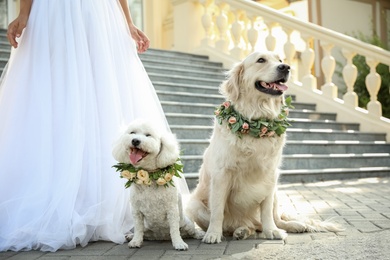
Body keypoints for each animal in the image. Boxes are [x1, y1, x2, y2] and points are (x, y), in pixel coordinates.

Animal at [112, 120, 204, 250]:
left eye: (148, 135)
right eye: (132, 133)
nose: (135, 141)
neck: (150, 176)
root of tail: (161, 236)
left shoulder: (172, 209)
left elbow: (174, 230)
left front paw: (178, 243)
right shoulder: (136, 211)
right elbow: (138, 229)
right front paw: (135, 241)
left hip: (187, 223)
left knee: (190, 232)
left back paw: (199, 234)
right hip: (147, 227)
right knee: (144, 232)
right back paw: (131, 236)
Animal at [186, 51, 342, 244]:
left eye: (280, 60)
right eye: (261, 60)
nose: (286, 67)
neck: (256, 121)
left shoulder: (270, 175)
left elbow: (267, 211)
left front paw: (272, 231)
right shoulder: (222, 174)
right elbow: (217, 210)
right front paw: (213, 234)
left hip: (276, 193)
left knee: (273, 219)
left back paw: (293, 225)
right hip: (194, 205)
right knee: (240, 226)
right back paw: (241, 230)